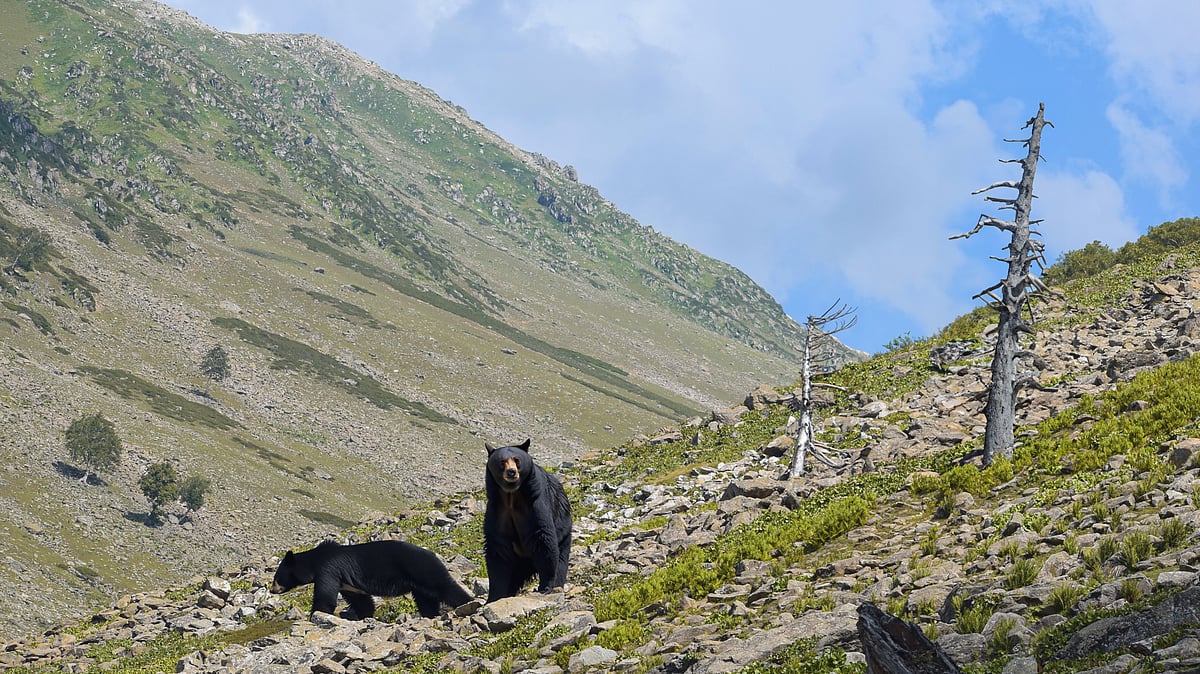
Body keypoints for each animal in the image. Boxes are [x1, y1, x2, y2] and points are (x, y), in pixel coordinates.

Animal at [269, 539, 472, 619]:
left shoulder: (329, 570)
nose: (272, 590)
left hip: (421, 568)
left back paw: (468, 603)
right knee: (426, 599)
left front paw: (316, 615)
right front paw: (364, 615)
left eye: (277, 577)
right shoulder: (347, 584)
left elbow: (325, 598)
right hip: (419, 584)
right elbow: (362, 601)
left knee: (444, 586)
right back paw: (430, 615)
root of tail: (432, 554)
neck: (314, 562)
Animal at [483, 439, 573, 602]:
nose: (511, 472)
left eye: (517, 460)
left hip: (564, 535)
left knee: (561, 561)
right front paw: (495, 596)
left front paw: (546, 586)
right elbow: (498, 550)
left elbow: (543, 539)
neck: (511, 496)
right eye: (502, 461)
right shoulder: (497, 510)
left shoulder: (535, 503)